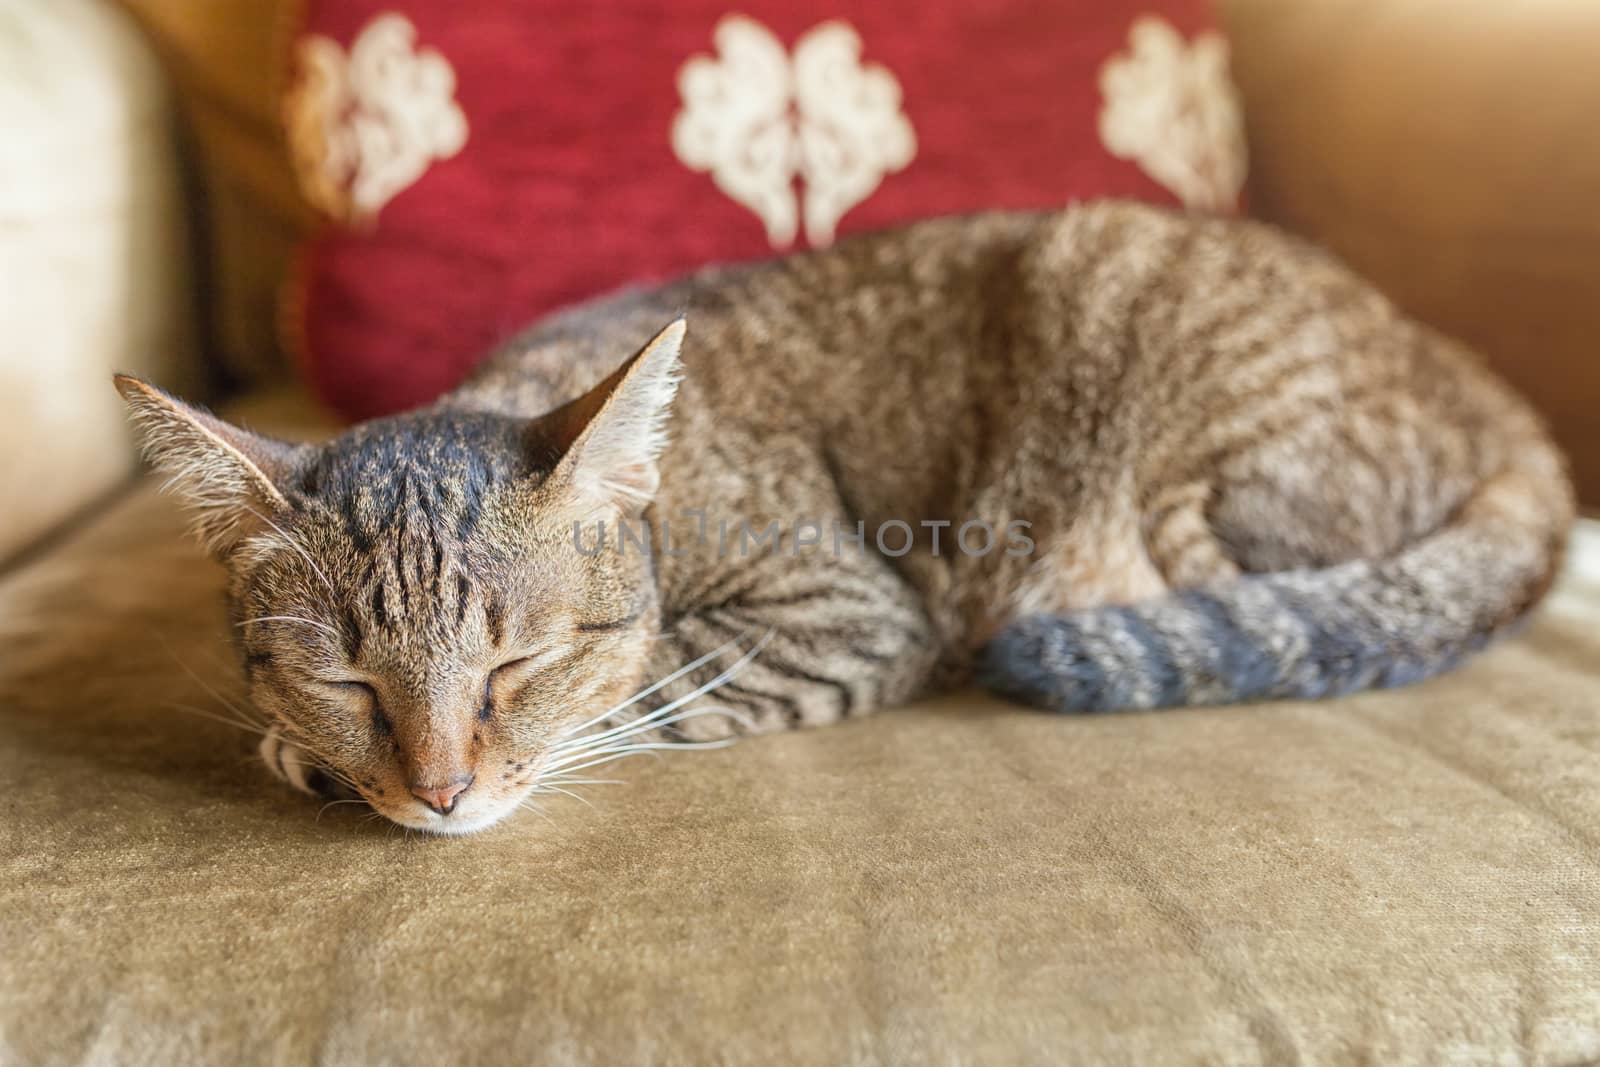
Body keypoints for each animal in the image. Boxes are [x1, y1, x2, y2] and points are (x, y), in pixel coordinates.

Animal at [116, 199, 1574, 831]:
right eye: (348, 678)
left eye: (515, 665)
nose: (439, 790)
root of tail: (1495, 394)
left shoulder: (840, 609)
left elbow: (658, 685)